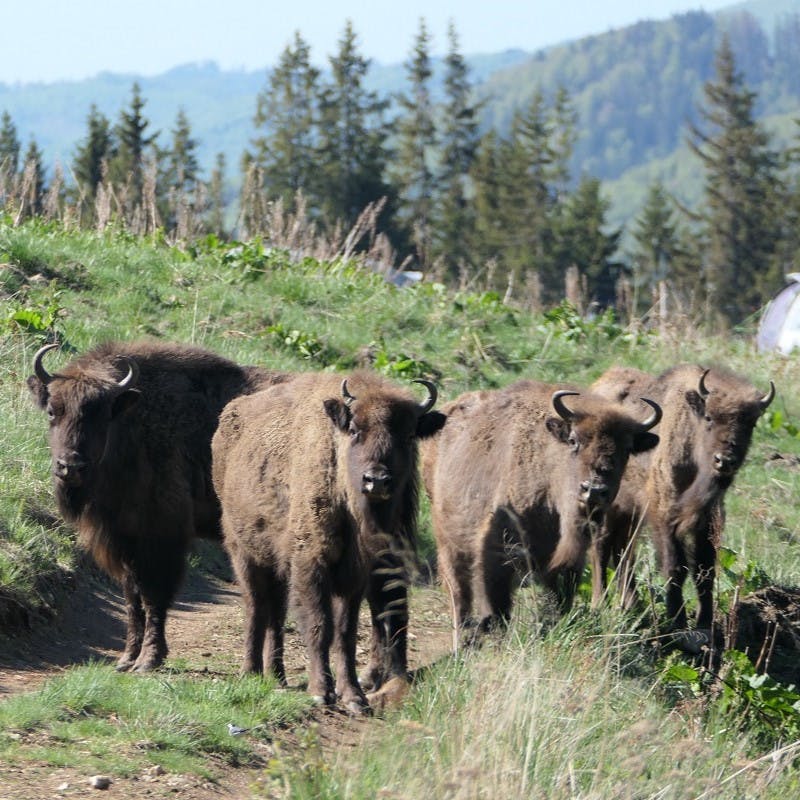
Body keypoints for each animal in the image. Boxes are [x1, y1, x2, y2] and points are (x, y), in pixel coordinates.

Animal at [28, 340, 288, 672]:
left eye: (102, 415)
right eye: (52, 411)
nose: (70, 466)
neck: (134, 421)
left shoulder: (161, 538)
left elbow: (154, 596)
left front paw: (148, 660)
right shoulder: (125, 539)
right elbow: (132, 597)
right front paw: (126, 659)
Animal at [212, 368, 446, 712]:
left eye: (407, 435)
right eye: (355, 430)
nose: (376, 480)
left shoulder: (355, 574)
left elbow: (345, 633)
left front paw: (353, 696)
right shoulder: (311, 563)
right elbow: (319, 625)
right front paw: (321, 691)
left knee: (276, 612)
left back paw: (277, 676)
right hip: (243, 552)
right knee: (255, 608)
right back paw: (250, 672)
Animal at [422, 378, 660, 636]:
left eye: (627, 449)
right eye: (573, 440)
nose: (594, 490)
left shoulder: (568, 562)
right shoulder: (498, 552)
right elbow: (497, 606)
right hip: (449, 542)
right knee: (458, 593)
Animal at [592, 366, 772, 640]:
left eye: (750, 423)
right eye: (709, 417)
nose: (724, 460)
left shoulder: (708, 519)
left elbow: (704, 569)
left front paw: (704, 624)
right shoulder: (665, 512)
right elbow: (676, 568)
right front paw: (676, 622)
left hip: (630, 514)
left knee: (624, 551)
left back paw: (629, 605)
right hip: (609, 507)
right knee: (602, 547)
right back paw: (600, 604)